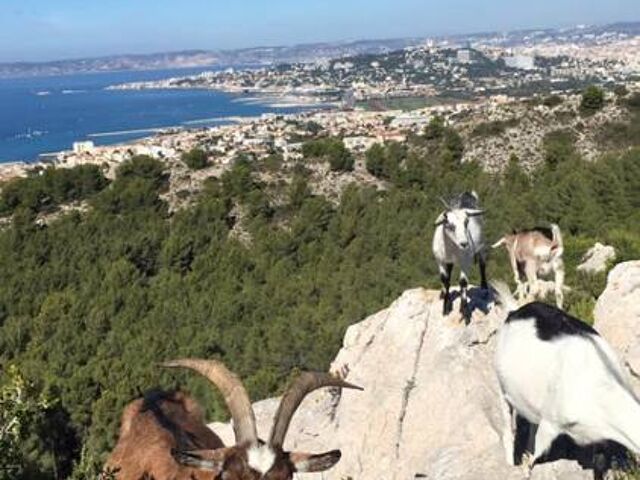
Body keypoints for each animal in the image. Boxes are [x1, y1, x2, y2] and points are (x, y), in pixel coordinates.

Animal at [496, 284, 640, 474]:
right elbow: (534, 456)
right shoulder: (550, 422)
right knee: (507, 428)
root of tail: (514, 312)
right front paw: (526, 470)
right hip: (502, 386)